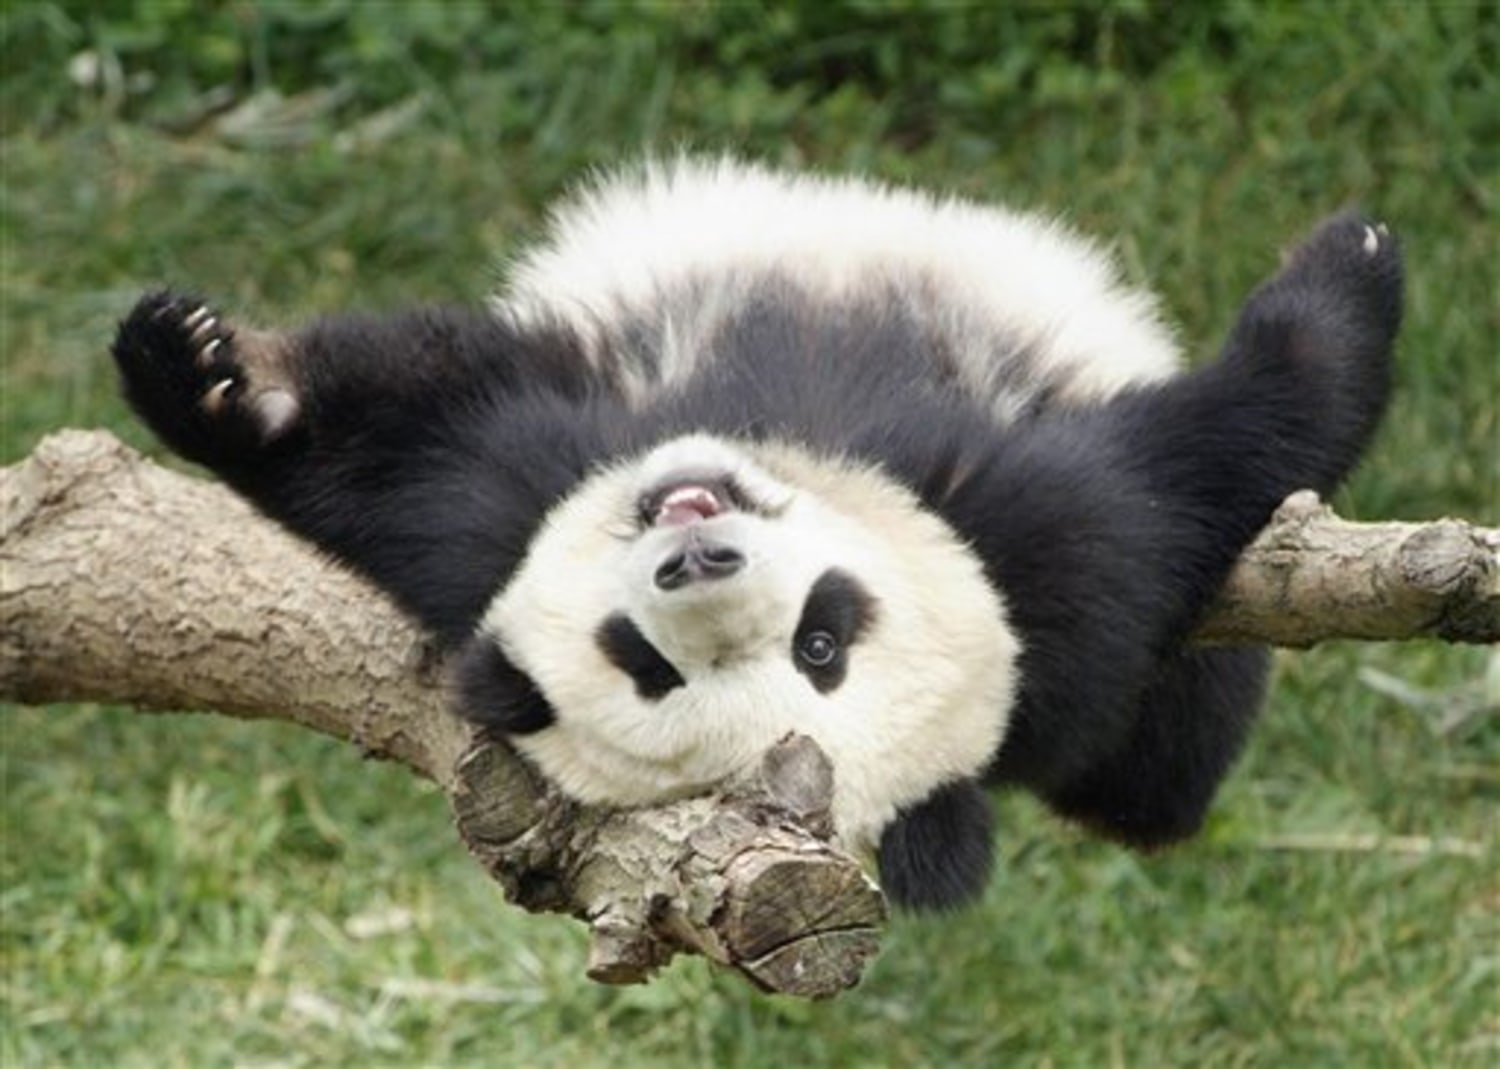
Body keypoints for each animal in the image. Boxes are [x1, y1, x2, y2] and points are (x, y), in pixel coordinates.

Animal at [112, 157, 1402, 911]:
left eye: (822, 641)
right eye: (648, 660)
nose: (698, 551)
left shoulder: (1058, 573)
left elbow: (1205, 457)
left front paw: (1350, 264)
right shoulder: (502, 514)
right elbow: (409, 446)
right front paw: (216, 380)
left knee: (1167, 765)